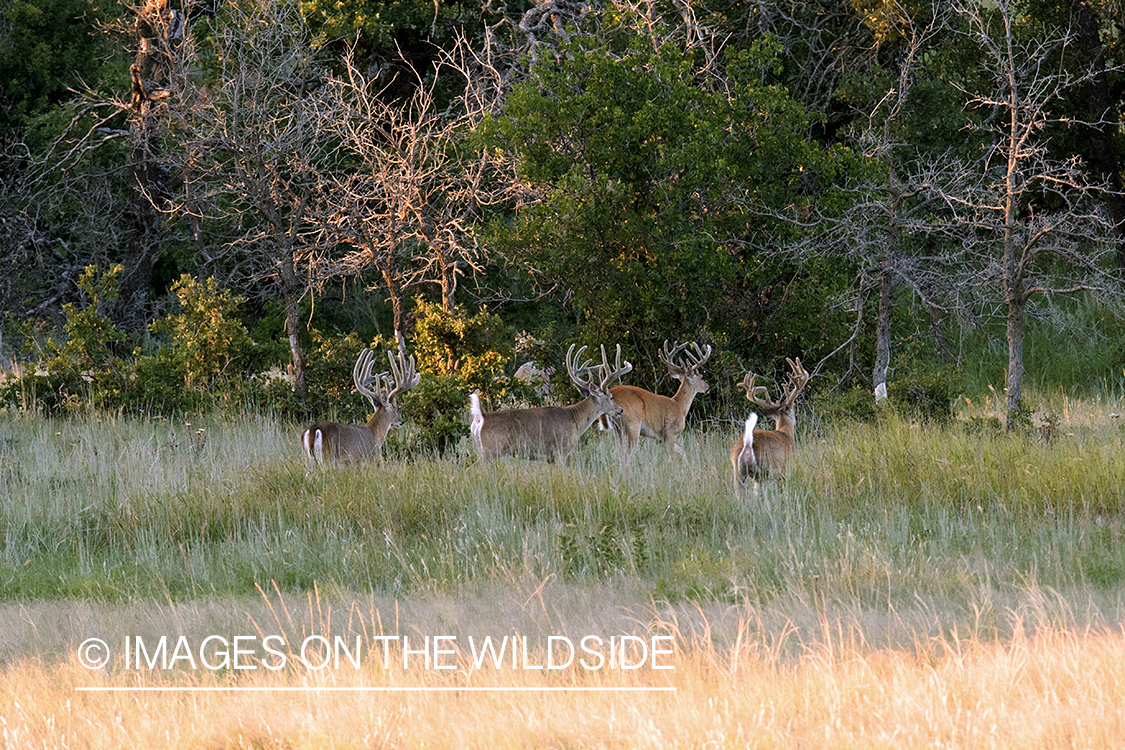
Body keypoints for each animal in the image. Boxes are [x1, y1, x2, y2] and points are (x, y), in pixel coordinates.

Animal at [468, 344, 634, 461]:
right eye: (611, 397)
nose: (620, 410)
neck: (575, 419)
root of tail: (481, 417)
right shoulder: (561, 450)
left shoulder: (550, 458)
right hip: (491, 450)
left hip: (480, 448)